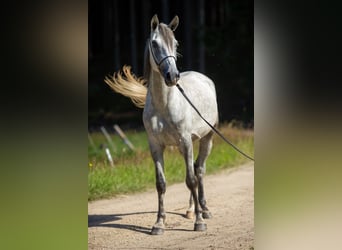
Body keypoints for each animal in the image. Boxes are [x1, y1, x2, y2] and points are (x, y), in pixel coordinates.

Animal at [103, 15, 219, 234]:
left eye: (176, 43)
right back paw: (190, 210)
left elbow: (190, 180)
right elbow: (161, 184)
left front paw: (199, 222)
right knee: (194, 168)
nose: (172, 76)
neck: (164, 105)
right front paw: (159, 223)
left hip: (206, 139)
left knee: (199, 171)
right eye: (155, 44)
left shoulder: (185, 142)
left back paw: (204, 210)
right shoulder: (156, 146)